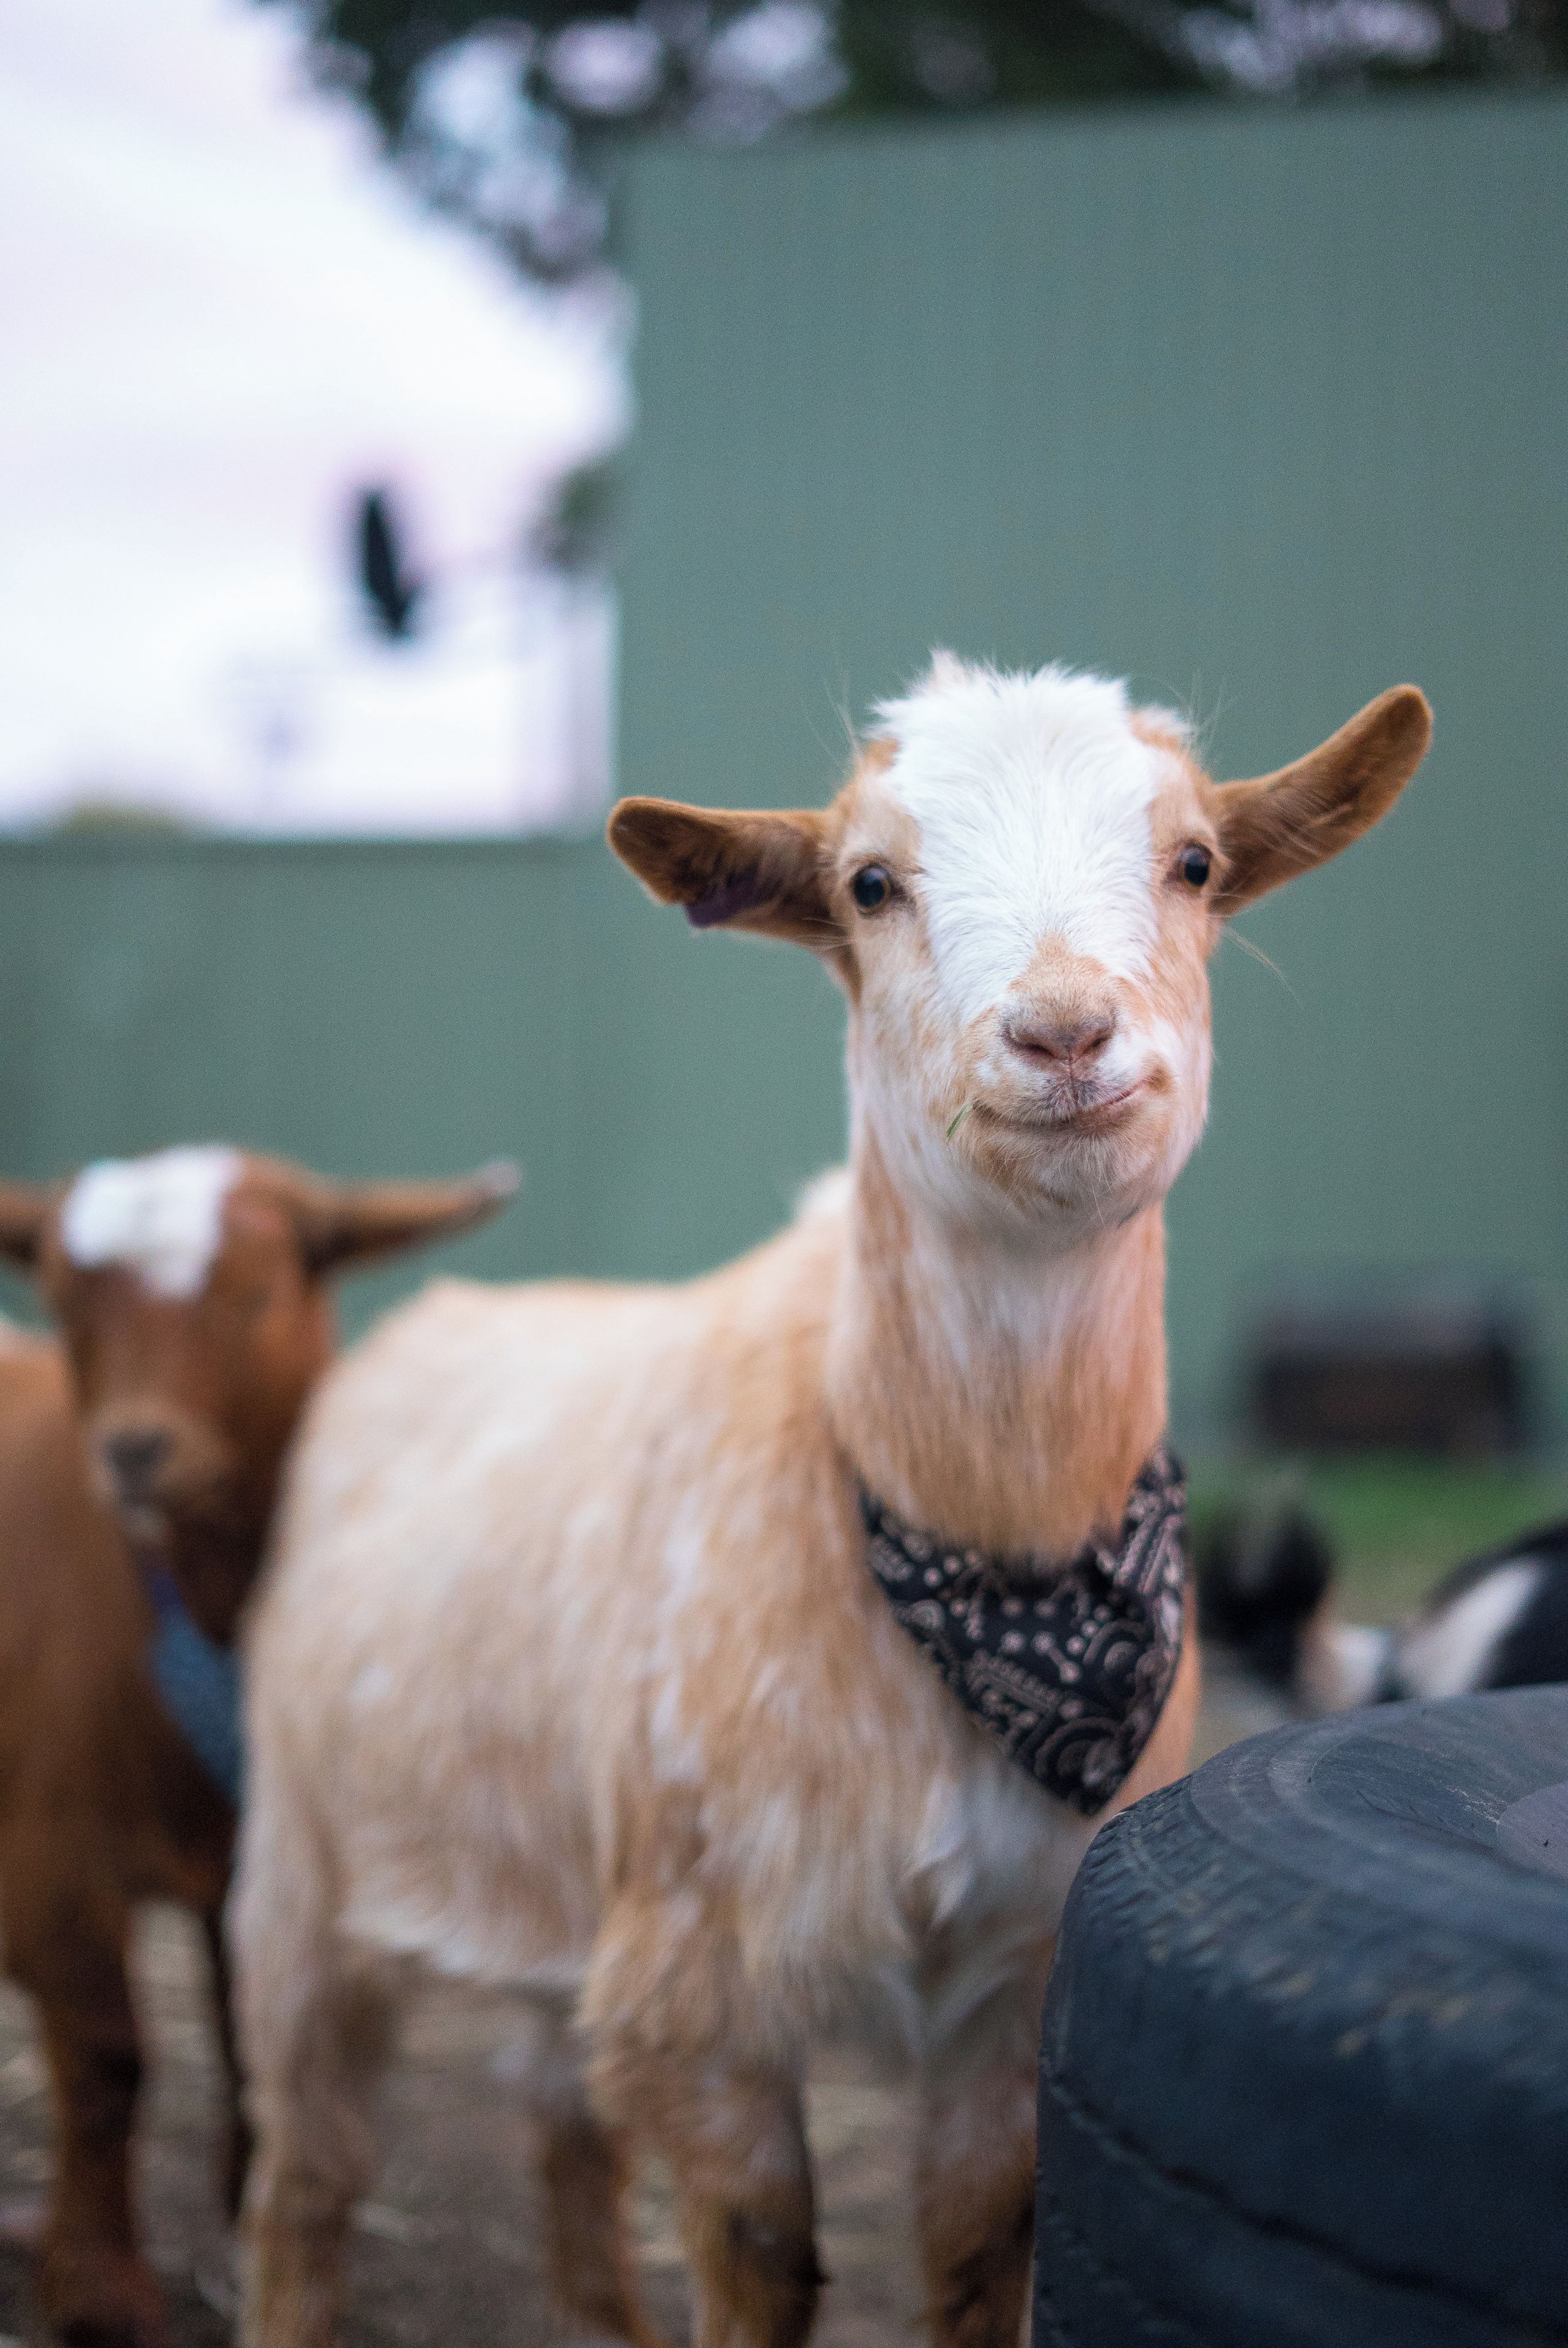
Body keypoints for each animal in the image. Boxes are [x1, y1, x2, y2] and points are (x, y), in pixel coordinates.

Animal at [0, 1148, 514, 2348]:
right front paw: (99, 2292)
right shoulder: (47, 1858)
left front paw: (246, 2220)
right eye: (65, 1303)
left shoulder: (264, 1853)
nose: (136, 1449)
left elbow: (254, 2045)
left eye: (258, 1293)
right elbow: (107, 2061)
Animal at [234, 661, 1430, 2348]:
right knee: (310, 2169)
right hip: (293, 1863)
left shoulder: (1021, 1979)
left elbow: (976, 2250)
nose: (1061, 1033)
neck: (985, 1546)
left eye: (1194, 861)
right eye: (869, 882)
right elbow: (757, 2258)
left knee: (562, 2144)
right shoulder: (698, 1980)